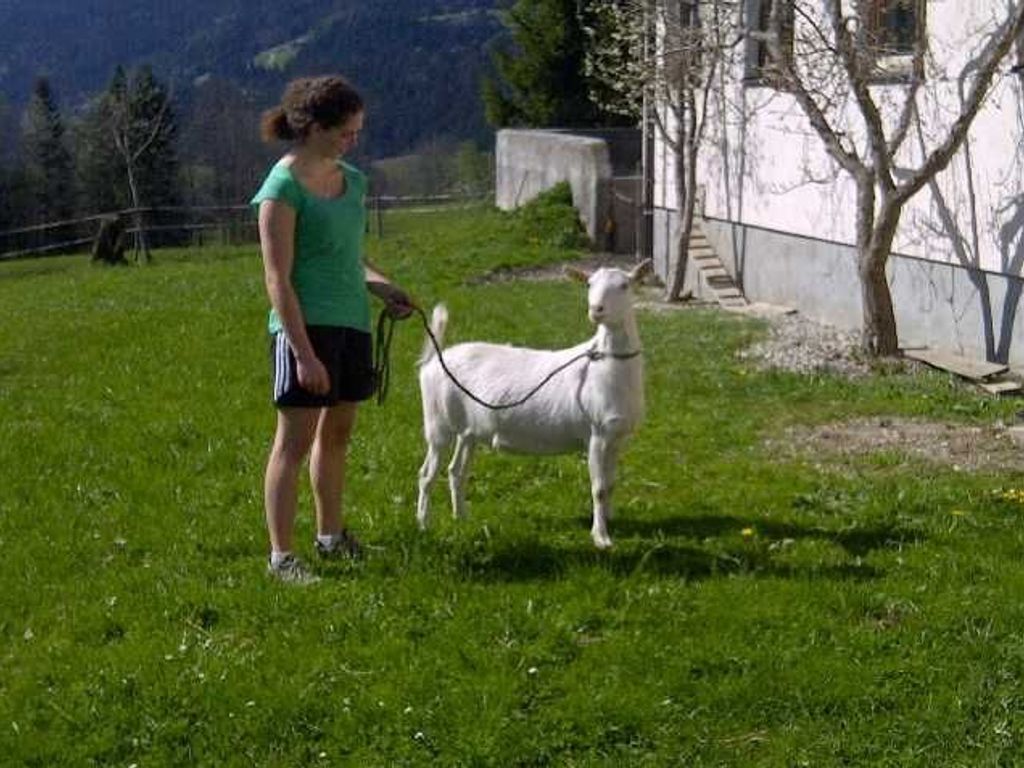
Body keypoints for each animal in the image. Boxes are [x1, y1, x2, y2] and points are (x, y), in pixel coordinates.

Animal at [416, 259, 651, 548]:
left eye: (625, 285)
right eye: (588, 284)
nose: (597, 310)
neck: (605, 366)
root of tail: (433, 360)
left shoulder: (617, 437)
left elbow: (610, 484)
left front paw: (609, 522)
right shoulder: (596, 434)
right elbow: (598, 488)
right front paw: (601, 537)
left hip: (467, 430)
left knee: (456, 471)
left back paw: (461, 517)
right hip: (437, 423)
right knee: (427, 474)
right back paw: (423, 524)